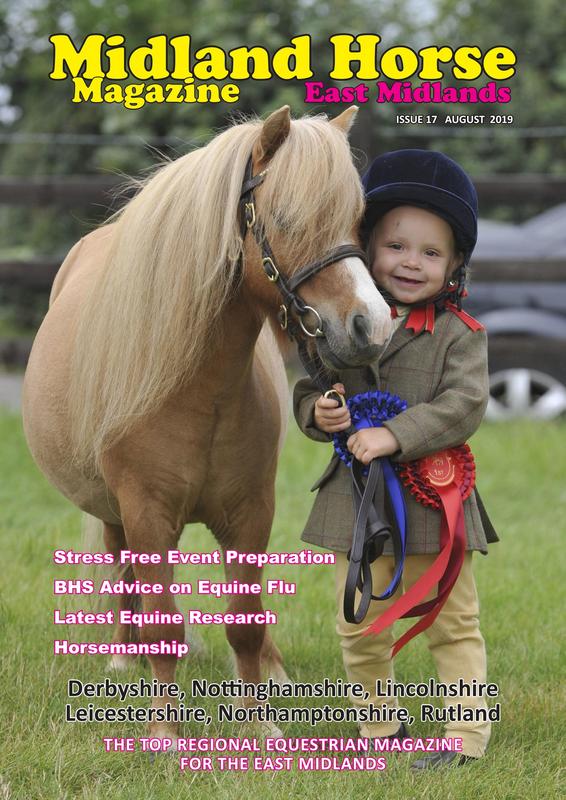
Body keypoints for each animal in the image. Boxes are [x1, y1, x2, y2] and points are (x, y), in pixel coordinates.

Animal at [22, 105, 392, 741]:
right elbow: (163, 623)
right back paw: (123, 658)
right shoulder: (146, 512)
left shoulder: (251, 514)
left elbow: (245, 620)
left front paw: (260, 726)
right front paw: (168, 733)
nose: (373, 324)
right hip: (116, 512)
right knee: (124, 572)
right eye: (286, 218)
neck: (198, 392)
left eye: (356, 221)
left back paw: (273, 671)